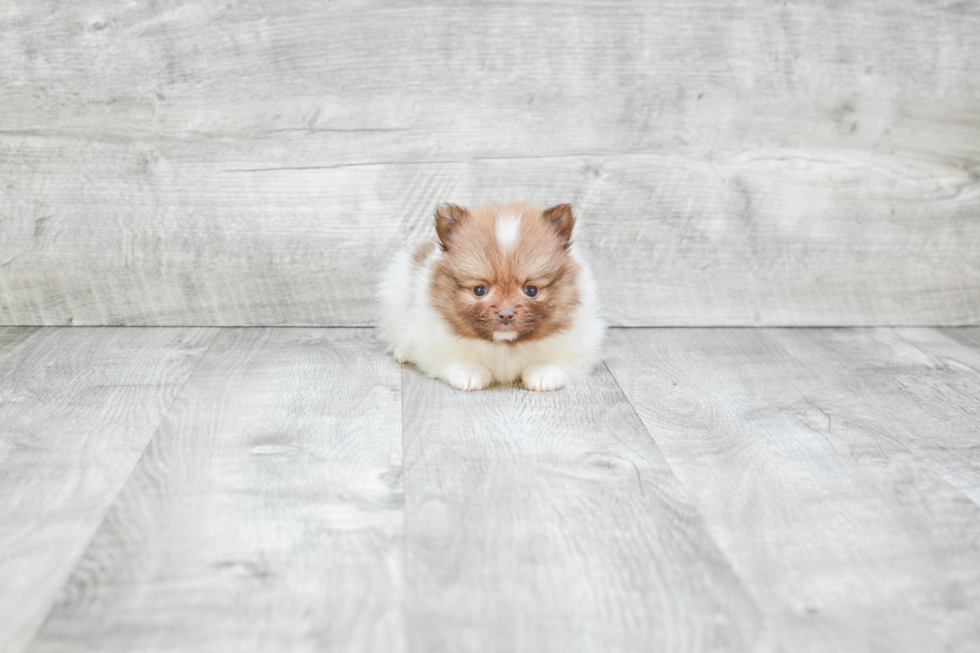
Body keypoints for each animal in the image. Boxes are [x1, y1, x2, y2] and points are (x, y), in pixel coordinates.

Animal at [378, 201, 600, 390]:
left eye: (531, 290)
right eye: (479, 290)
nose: (506, 314)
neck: (504, 344)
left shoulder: (579, 341)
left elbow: (558, 359)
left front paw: (543, 373)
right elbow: (454, 356)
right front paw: (469, 372)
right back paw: (403, 351)